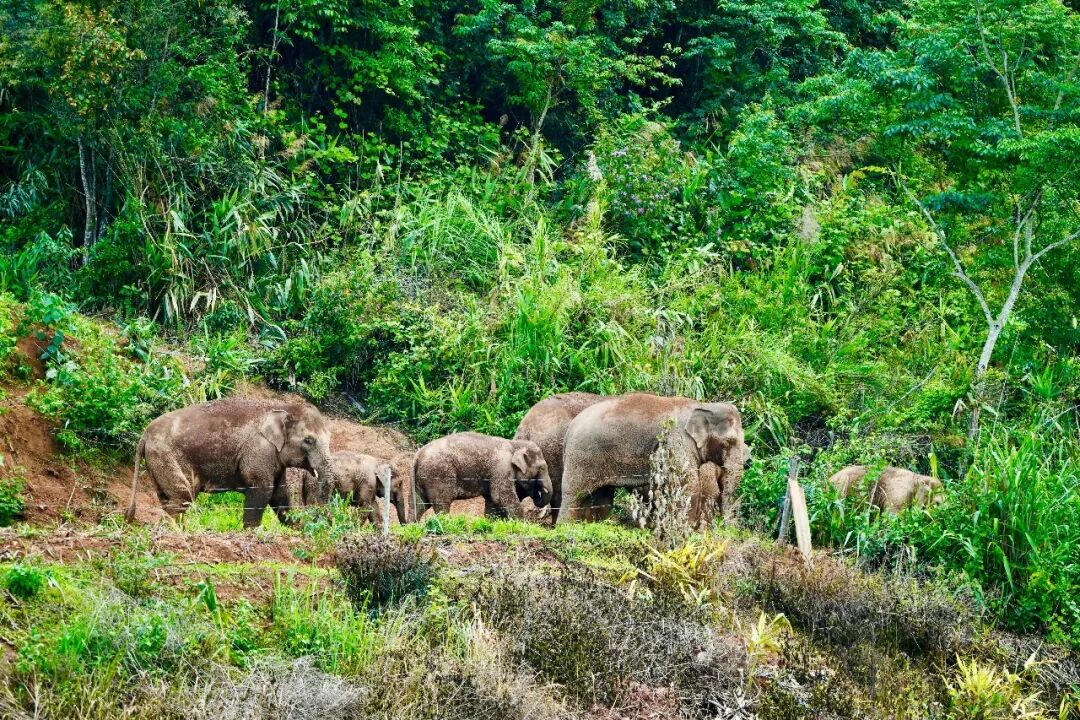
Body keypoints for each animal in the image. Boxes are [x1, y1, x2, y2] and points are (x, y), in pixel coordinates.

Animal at [126, 398, 334, 528]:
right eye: (309, 440)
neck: (282, 406)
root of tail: (144, 435)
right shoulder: (258, 450)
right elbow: (263, 490)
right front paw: (252, 533)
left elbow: (279, 495)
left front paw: (298, 529)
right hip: (165, 456)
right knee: (182, 497)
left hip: (156, 462)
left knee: (168, 498)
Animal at [412, 432, 552, 518]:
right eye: (542, 467)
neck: (514, 444)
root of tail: (417, 455)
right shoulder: (501, 467)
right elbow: (501, 496)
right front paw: (524, 525)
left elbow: (491, 500)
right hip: (438, 476)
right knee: (442, 503)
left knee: (419, 505)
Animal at [558, 393, 749, 524]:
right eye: (729, 441)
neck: (703, 406)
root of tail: (569, 430)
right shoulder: (676, 441)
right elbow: (689, 484)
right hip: (580, 457)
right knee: (573, 494)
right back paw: (565, 527)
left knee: (600, 496)